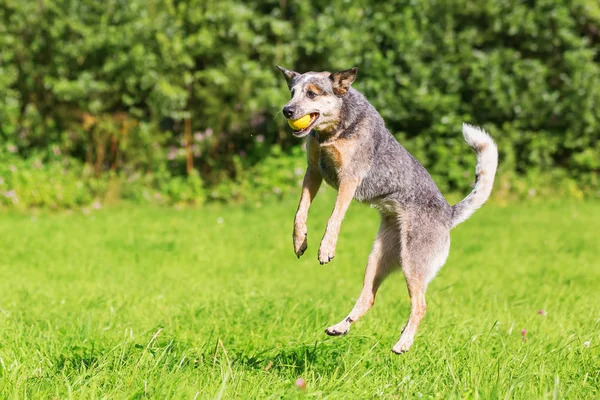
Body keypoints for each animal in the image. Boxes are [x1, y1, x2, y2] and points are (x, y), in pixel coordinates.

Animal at [276, 65, 496, 354]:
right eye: (292, 92)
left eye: (312, 93)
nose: (287, 110)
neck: (333, 131)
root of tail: (448, 213)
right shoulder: (313, 172)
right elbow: (300, 212)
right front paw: (299, 241)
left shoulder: (349, 180)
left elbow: (334, 218)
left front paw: (326, 249)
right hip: (378, 257)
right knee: (368, 297)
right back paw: (340, 327)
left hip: (413, 262)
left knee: (420, 305)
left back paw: (403, 343)